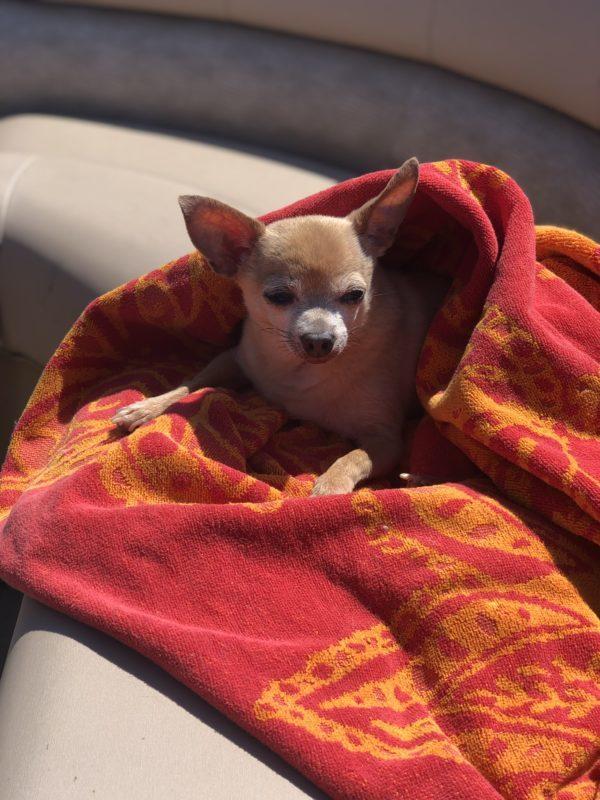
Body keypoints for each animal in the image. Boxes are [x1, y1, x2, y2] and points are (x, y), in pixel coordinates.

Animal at [115, 158, 448, 494]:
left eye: (355, 295)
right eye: (278, 297)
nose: (319, 339)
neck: (297, 373)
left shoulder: (386, 440)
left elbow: (352, 458)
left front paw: (330, 487)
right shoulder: (234, 359)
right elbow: (193, 382)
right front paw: (148, 406)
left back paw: (421, 477)